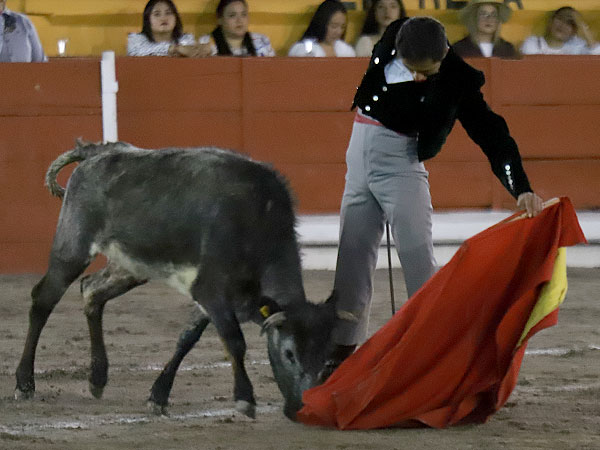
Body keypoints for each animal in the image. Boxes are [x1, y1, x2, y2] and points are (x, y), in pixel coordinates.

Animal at [14, 140, 338, 418]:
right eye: (289, 354)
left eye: (326, 359)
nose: (304, 407)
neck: (257, 220)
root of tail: (97, 152)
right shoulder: (210, 289)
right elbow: (234, 340)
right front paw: (245, 399)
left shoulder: (211, 297)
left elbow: (188, 337)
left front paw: (158, 396)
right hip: (72, 248)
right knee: (43, 300)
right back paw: (24, 383)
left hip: (130, 266)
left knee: (91, 290)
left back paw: (97, 378)